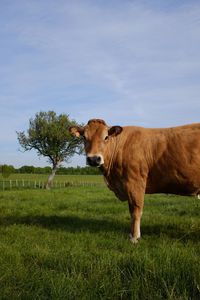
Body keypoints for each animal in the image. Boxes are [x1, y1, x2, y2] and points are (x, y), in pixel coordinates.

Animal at [69, 119, 200, 244]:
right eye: (84, 137)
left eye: (106, 137)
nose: (94, 159)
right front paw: (132, 234)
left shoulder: (135, 183)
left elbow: (136, 211)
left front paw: (135, 237)